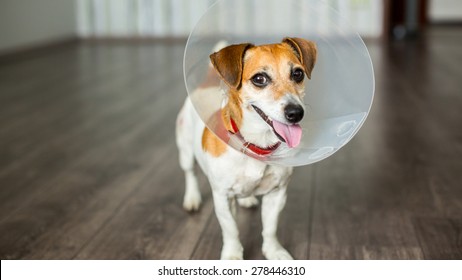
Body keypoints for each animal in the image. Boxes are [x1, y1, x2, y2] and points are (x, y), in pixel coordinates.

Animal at [175, 37, 316, 260]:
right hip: (185, 148)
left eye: (298, 74)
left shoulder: (277, 194)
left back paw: (247, 199)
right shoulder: (223, 197)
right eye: (259, 78)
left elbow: (270, 228)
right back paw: (192, 198)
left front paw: (274, 251)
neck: (256, 145)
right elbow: (231, 230)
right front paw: (233, 255)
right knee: (190, 173)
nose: (296, 113)